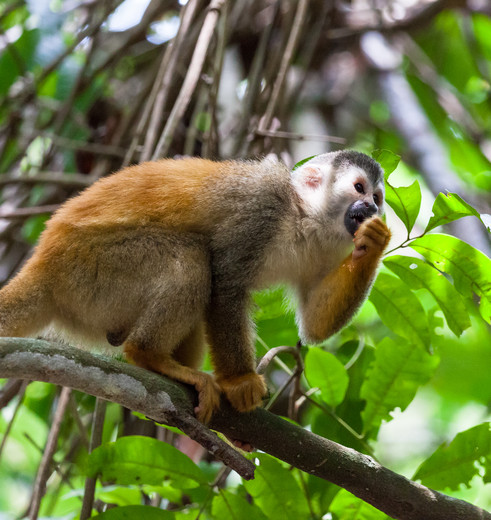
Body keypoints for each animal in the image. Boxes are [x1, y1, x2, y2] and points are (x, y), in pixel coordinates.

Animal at [0, 150, 392, 422]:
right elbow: (226, 284)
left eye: (377, 197)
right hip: (91, 267)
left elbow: (314, 326)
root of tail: (45, 262)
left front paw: (375, 243)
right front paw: (240, 381)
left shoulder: (333, 247)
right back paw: (149, 355)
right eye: (359, 188)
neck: (303, 218)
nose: (371, 208)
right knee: (193, 258)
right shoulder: (260, 209)